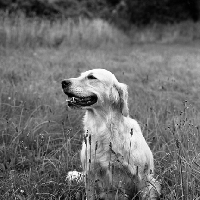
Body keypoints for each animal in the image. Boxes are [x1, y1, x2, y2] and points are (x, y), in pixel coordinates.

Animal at [61, 68, 160, 198]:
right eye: (80, 75)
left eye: (91, 77)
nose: (63, 82)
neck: (104, 128)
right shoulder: (90, 173)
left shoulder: (143, 178)